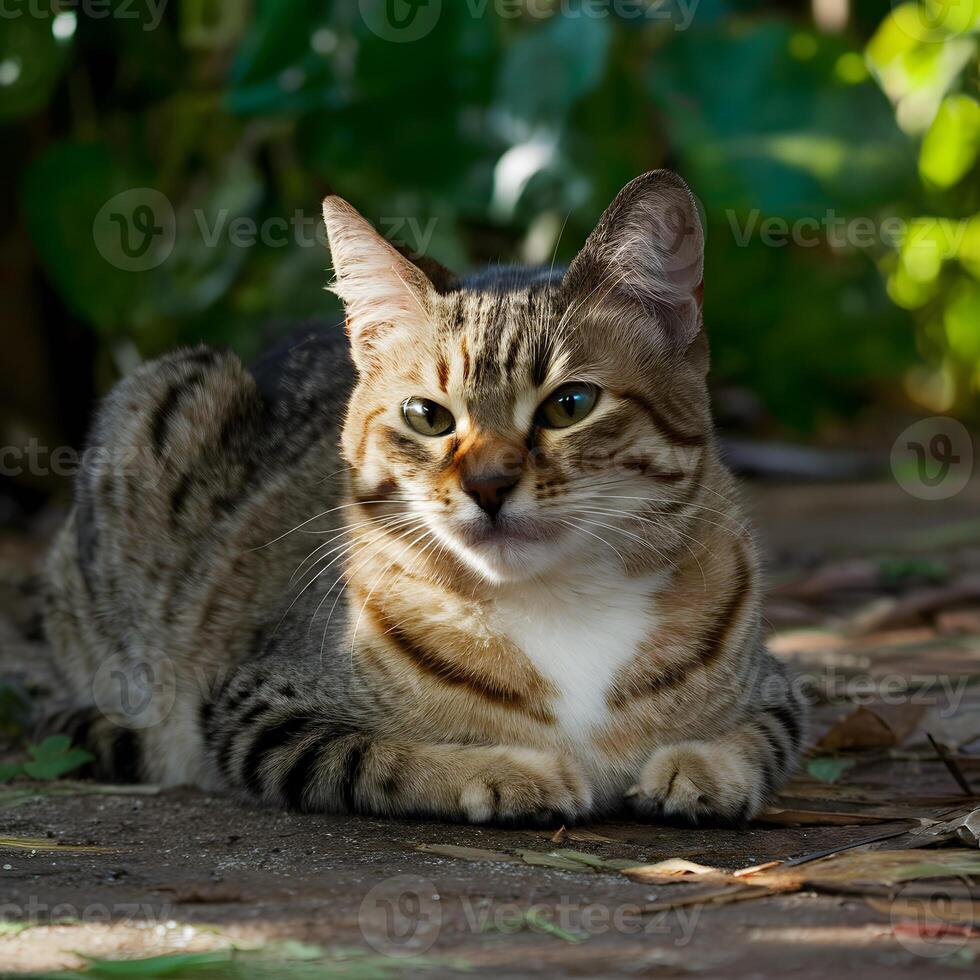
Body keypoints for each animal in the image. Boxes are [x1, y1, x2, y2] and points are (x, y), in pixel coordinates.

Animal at [42, 172, 804, 824]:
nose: (488, 485)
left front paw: (702, 770)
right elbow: (384, 760)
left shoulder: (779, 688)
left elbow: (758, 741)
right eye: (427, 416)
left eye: (571, 404)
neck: (562, 601)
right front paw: (511, 772)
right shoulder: (258, 708)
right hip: (163, 398)